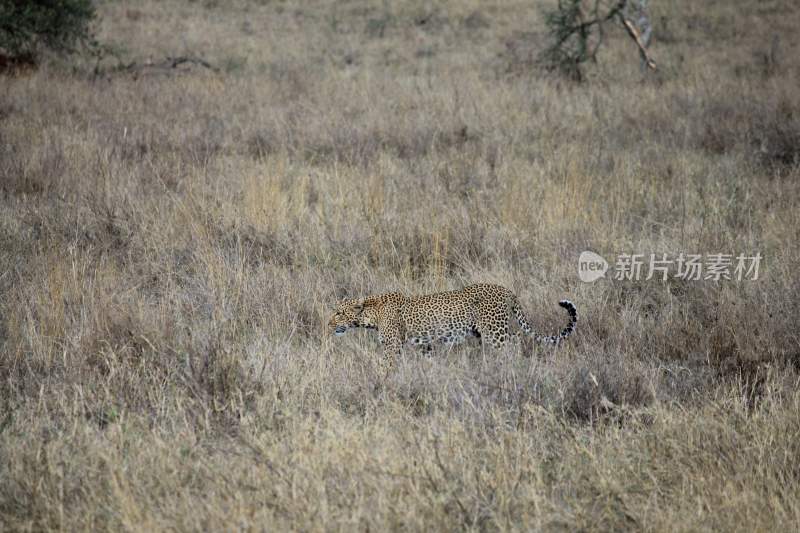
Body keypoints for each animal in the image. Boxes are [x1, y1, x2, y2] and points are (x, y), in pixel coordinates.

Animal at [328, 282, 580, 370]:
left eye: (339, 313)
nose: (329, 324)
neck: (371, 314)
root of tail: (508, 290)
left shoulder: (392, 346)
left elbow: (386, 366)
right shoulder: (426, 345)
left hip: (494, 332)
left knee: (513, 346)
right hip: (484, 333)